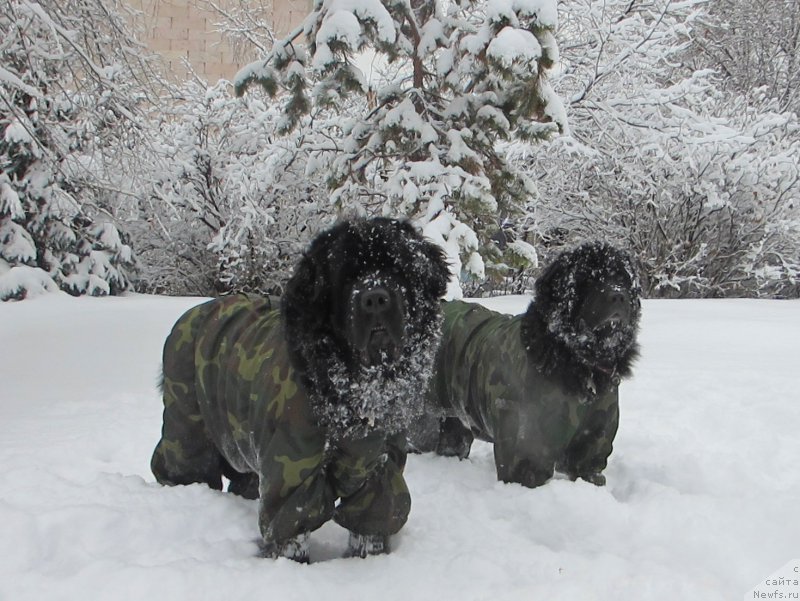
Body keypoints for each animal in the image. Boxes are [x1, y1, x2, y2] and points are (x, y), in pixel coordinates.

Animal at [151, 218, 450, 560]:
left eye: (396, 269)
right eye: (347, 277)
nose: (375, 297)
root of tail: (189, 315)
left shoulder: (380, 470)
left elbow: (371, 525)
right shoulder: (293, 472)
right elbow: (290, 528)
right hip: (188, 428)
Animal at [416, 241, 640, 490]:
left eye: (622, 278)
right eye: (590, 279)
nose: (618, 295)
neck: (580, 361)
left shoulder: (591, 447)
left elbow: (590, 471)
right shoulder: (526, 451)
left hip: (455, 420)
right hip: (424, 419)